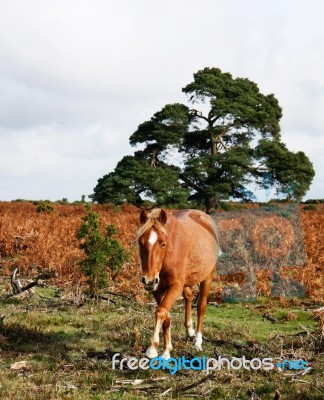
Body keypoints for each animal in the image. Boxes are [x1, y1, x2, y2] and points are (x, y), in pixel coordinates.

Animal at [138, 209, 219, 360]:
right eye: (140, 243)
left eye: (163, 243)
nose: (149, 280)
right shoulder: (157, 289)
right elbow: (166, 316)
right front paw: (166, 350)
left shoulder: (175, 286)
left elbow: (161, 312)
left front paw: (152, 349)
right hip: (186, 281)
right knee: (189, 296)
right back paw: (190, 330)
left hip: (207, 277)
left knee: (201, 307)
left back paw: (197, 341)